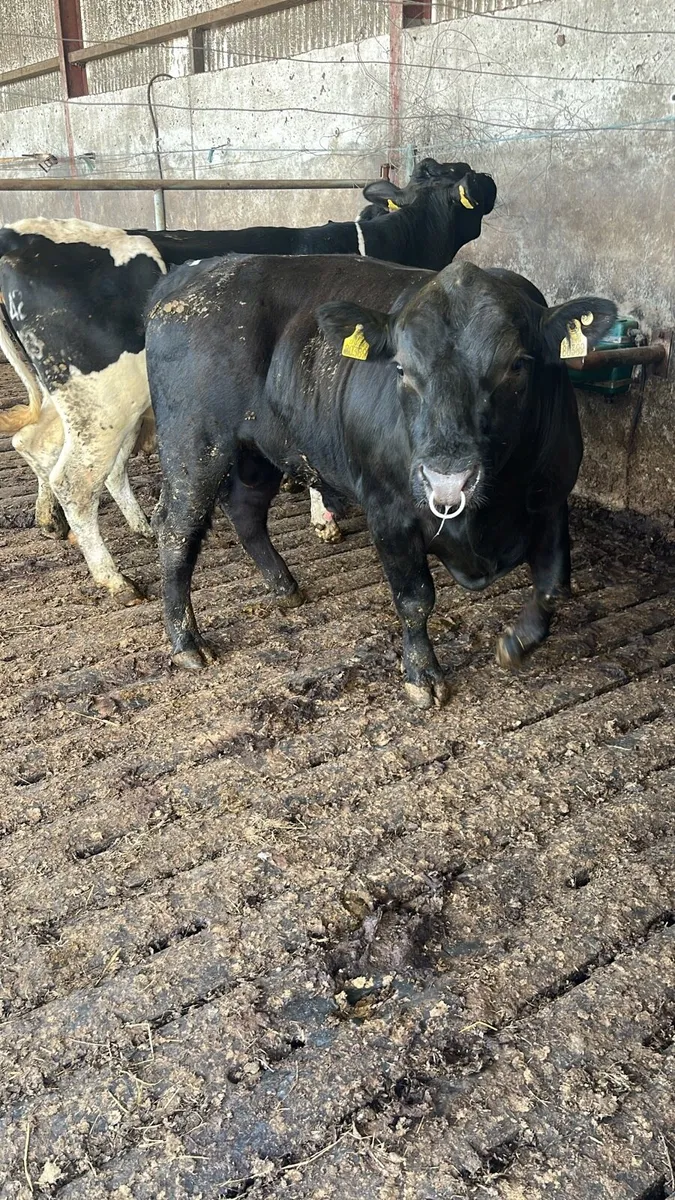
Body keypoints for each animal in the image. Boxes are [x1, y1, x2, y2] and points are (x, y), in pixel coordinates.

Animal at [0, 161, 495, 600]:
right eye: (465, 174)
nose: (490, 180)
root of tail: (20, 236)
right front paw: (323, 519)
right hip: (103, 400)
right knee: (75, 479)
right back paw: (115, 580)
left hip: (77, 399)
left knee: (38, 445)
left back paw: (78, 524)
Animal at [145, 254, 616, 704]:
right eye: (401, 368)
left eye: (517, 365)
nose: (448, 480)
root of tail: (196, 275)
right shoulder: (388, 509)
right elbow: (415, 599)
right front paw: (422, 676)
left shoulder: (552, 497)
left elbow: (554, 586)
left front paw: (516, 644)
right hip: (194, 447)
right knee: (176, 531)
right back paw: (187, 642)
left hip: (257, 449)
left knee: (245, 510)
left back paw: (283, 587)